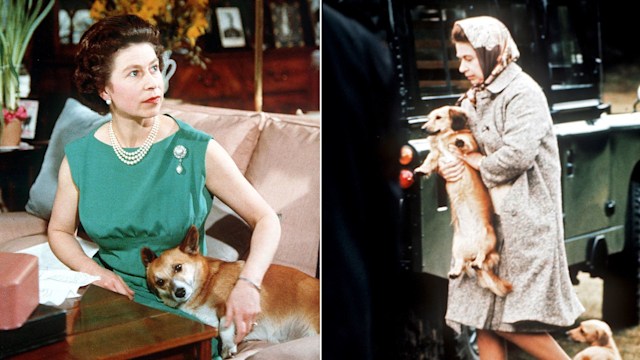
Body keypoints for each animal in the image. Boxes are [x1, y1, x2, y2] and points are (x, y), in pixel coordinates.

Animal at [141, 225, 318, 358]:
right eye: (160, 282)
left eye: (178, 267)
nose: (179, 292)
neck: (206, 283)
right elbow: (218, 327)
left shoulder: (230, 306)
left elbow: (224, 326)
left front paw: (227, 347)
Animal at [416, 105, 516, 296]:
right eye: (429, 118)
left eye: (438, 117)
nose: (423, 129)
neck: (444, 138)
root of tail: (471, 251)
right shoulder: (436, 155)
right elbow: (429, 160)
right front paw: (421, 170)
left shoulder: (471, 144)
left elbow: (465, 142)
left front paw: (459, 142)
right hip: (456, 248)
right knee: (462, 263)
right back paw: (455, 271)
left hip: (488, 240)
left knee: (481, 258)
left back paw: (477, 262)